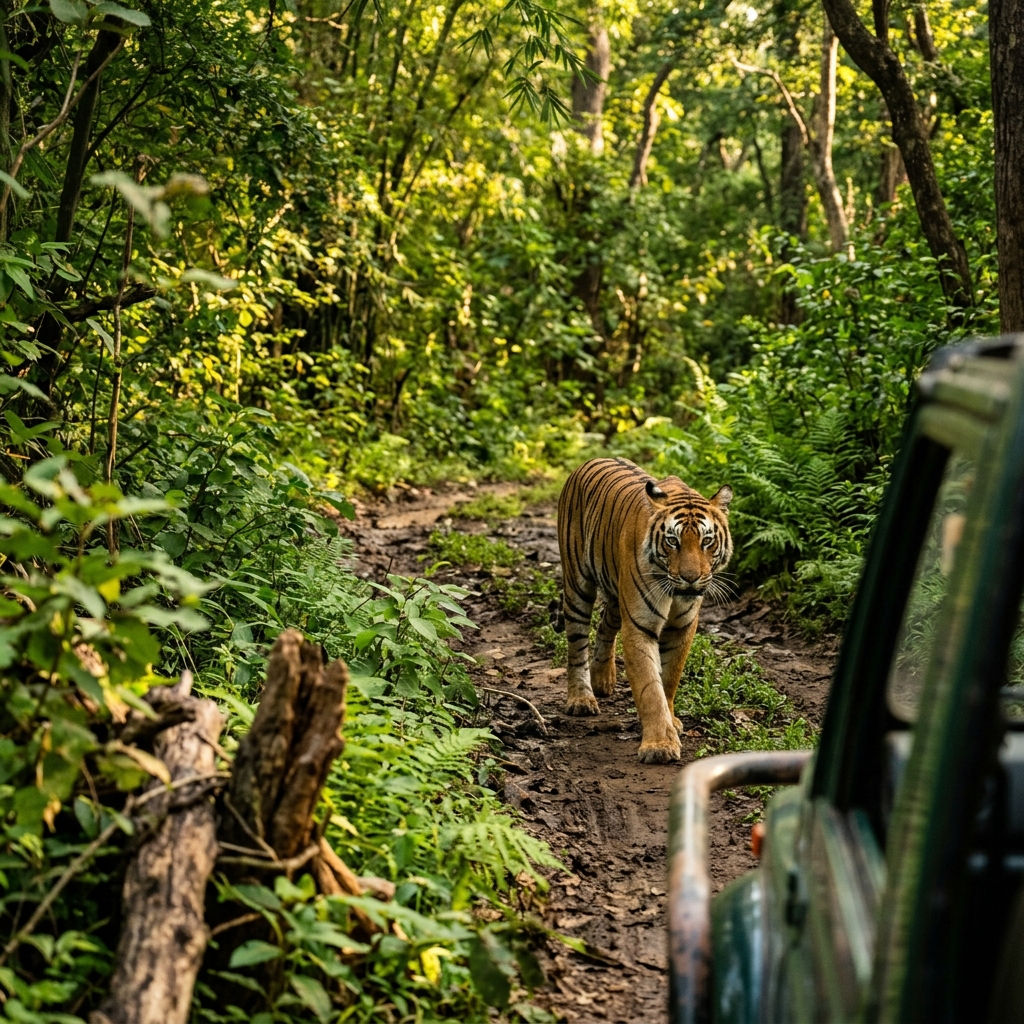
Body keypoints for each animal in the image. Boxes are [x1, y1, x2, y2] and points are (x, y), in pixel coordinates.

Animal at [556, 457, 733, 763]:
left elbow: (669, 679)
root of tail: (589, 461)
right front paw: (660, 745)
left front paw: (671, 721)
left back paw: (603, 680)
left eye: (707, 541)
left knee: (605, 626)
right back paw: (581, 698)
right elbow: (651, 688)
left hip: (617, 596)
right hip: (578, 584)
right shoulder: (640, 626)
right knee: (577, 645)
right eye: (673, 541)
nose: (690, 578)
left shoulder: (682, 627)